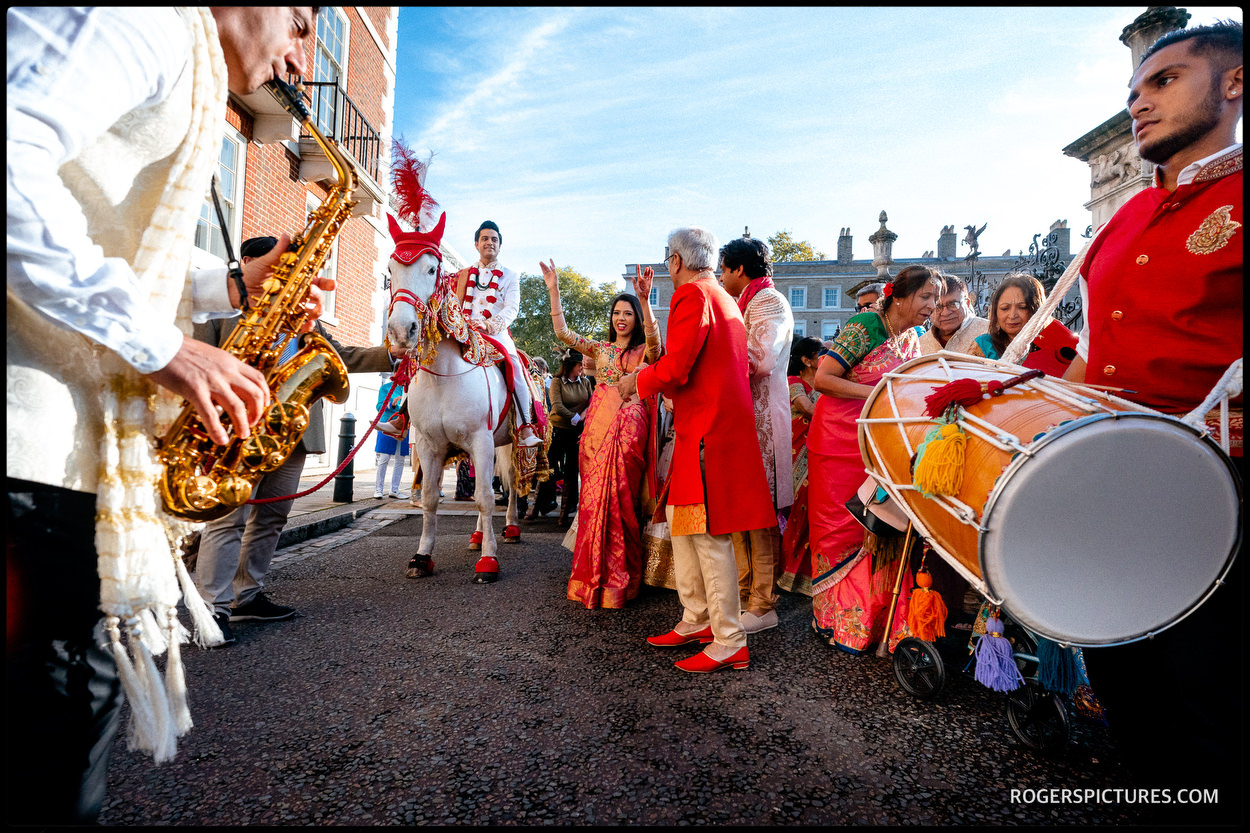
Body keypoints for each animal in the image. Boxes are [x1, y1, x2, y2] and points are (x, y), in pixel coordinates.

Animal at [380, 250, 517, 580]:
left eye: (432, 270)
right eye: (390, 270)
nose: (401, 330)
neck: (444, 377)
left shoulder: (481, 440)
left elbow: (485, 497)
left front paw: (488, 560)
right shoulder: (429, 446)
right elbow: (430, 498)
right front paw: (421, 557)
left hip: (513, 445)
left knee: (514, 486)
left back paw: (510, 528)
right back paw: (478, 535)